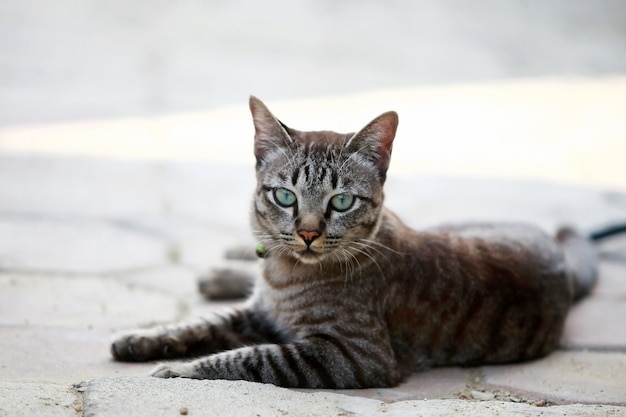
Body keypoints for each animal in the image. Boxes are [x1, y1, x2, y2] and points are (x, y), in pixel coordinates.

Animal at [109, 96, 620, 388]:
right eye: (284, 195)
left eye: (341, 201)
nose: (307, 232)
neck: (284, 273)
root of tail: (560, 257)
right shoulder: (259, 311)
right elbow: (198, 326)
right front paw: (144, 338)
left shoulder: (351, 356)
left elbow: (249, 357)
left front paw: (183, 369)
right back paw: (225, 267)